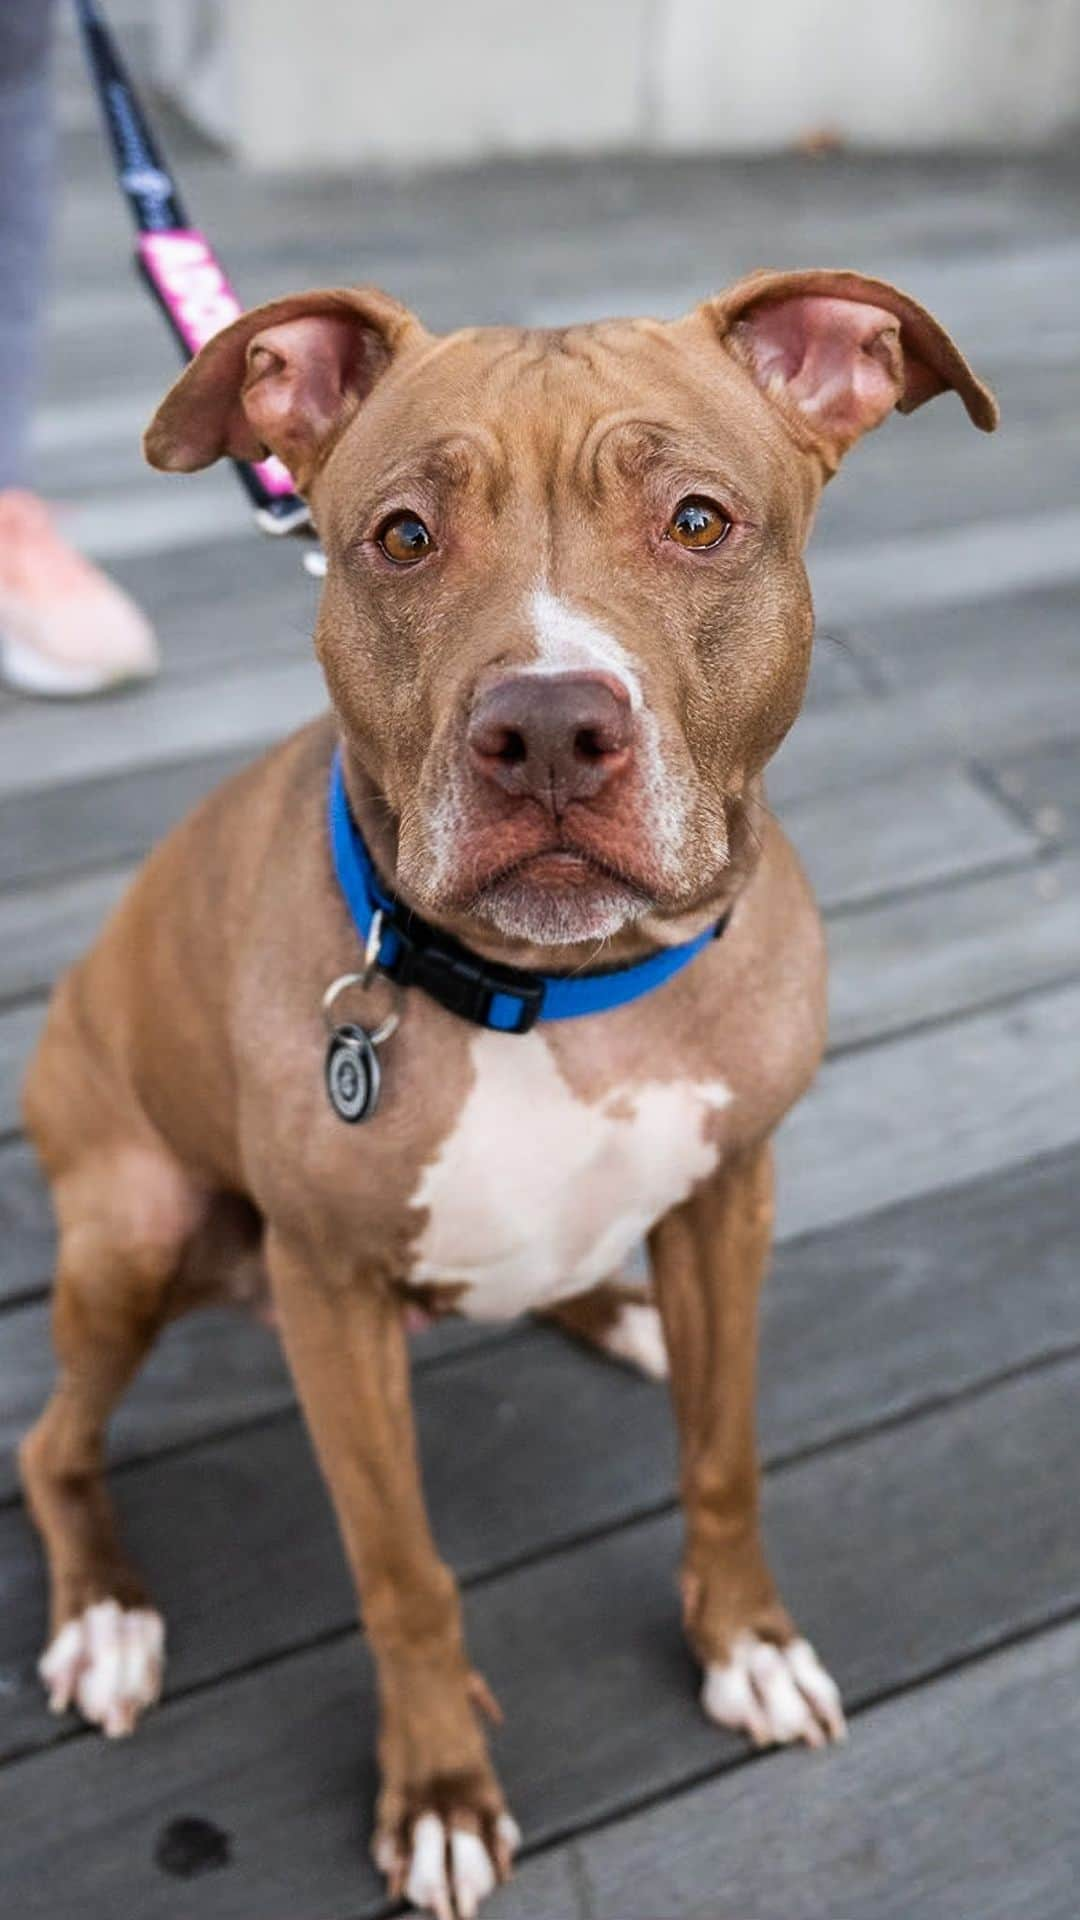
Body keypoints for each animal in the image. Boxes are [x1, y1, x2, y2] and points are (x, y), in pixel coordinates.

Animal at [18, 270, 991, 1920]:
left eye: (698, 521)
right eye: (403, 537)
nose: (543, 729)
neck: (553, 995)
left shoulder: (733, 1189)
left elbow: (723, 1459)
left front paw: (747, 1644)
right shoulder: (330, 1293)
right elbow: (403, 1575)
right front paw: (438, 1794)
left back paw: (617, 1309)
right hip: (137, 1223)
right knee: (50, 1446)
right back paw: (105, 1617)